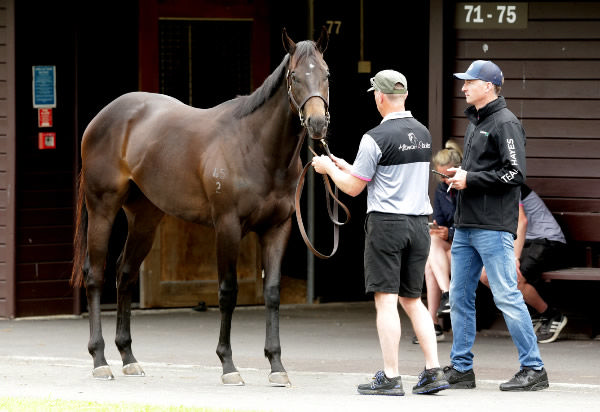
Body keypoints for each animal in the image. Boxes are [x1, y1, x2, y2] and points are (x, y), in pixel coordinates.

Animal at [72, 29, 330, 386]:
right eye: (294, 76)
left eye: (326, 74)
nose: (318, 124)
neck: (256, 147)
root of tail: (102, 117)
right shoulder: (228, 226)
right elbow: (227, 291)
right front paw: (228, 364)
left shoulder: (278, 228)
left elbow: (273, 292)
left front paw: (277, 365)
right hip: (102, 208)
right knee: (95, 274)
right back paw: (99, 360)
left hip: (144, 217)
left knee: (125, 272)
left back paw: (128, 357)